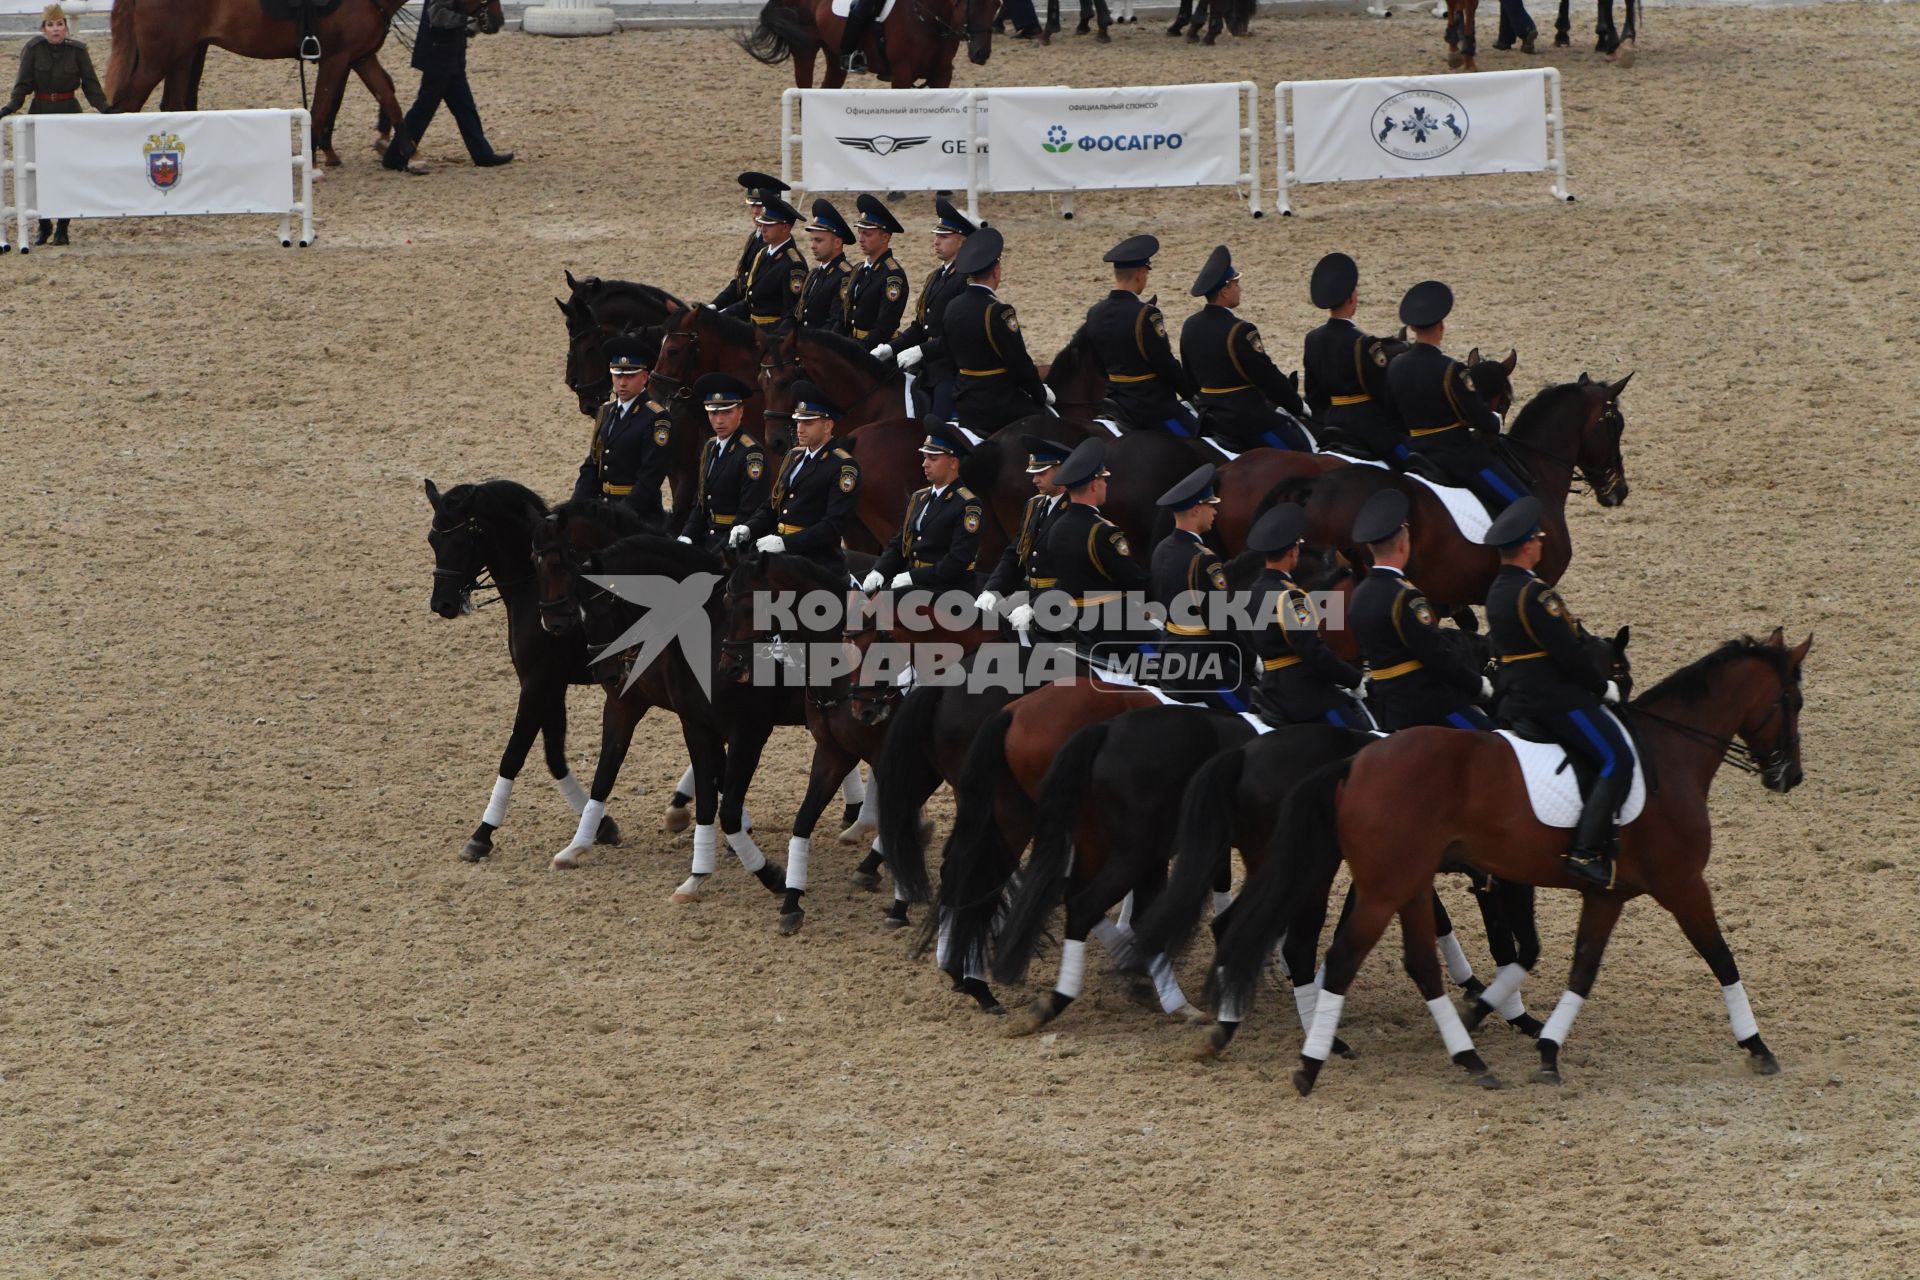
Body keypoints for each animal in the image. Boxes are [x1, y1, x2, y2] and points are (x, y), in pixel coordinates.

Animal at [424, 485, 618, 867]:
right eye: (432, 540)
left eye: (462, 541)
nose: (443, 605)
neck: (533, 590)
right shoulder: (551, 685)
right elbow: (553, 756)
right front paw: (601, 824)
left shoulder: (537, 682)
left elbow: (514, 754)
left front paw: (482, 834)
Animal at [737, 0, 998, 88]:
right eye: (974, 4)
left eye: (997, 4)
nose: (981, 53)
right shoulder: (902, 75)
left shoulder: (942, 75)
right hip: (805, 48)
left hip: (835, 54)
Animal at [1221, 629, 1804, 1090]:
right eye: (1793, 701)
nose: (1789, 776)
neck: (1670, 755)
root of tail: (1355, 760)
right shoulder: (1682, 883)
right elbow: (1720, 956)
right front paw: (1757, 1045)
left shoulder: (1607, 893)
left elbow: (1580, 968)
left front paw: (1542, 1046)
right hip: (1380, 884)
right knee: (1331, 955)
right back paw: (1310, 1059)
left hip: (1400, 880)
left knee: (1413, 962)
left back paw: (1463, 1056)